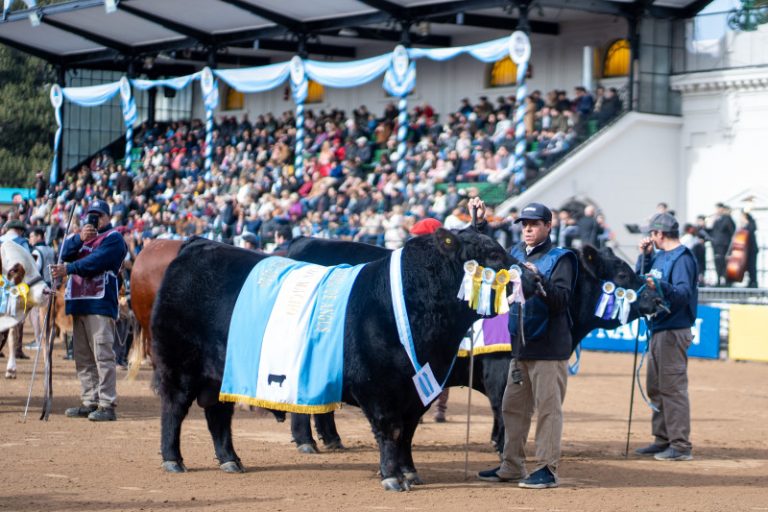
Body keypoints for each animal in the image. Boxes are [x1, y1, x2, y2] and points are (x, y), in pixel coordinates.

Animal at [152, 229, 540, 492]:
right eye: (491, 254)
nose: (533, 277)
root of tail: (199, 244)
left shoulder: (417, 392)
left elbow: (408, 433)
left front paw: (409, 471)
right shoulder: (383, 389)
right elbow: (391, 430)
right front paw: (392, 477)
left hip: (220, 374)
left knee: (219, 414)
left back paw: (231, 460)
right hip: (179, 364)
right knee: (174, 408)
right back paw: (173, 460)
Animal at [284, 236, 664, 452]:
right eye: (623, 275)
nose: (658, 300)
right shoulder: (499, 369)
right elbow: (503, 409)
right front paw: (502, 446)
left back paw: (331, 440)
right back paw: (308, 443)